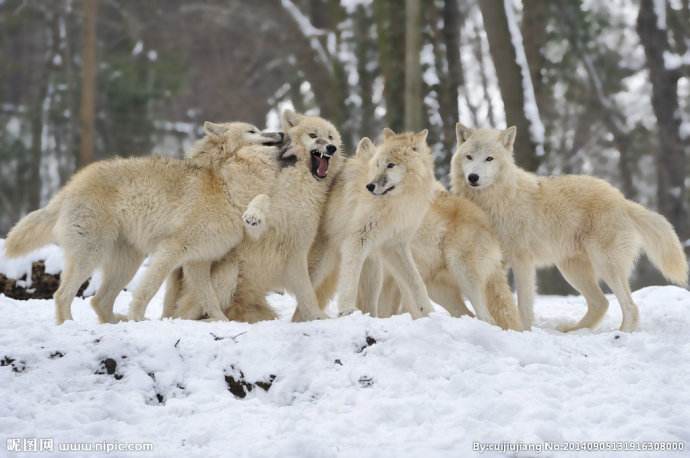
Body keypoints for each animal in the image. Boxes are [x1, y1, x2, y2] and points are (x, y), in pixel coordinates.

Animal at [448, 125, 684, 330]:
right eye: (469, 157)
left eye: (489, 158)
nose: (473, 177)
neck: (495, 201)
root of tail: (622, 200)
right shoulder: (495, 262)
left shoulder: (522, 261)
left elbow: (523, 304)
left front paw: (523, 330)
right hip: (572, 270)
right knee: (601, 303)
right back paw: (573, 331)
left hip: (605, 266)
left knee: (630, 307)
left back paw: (621, 334)